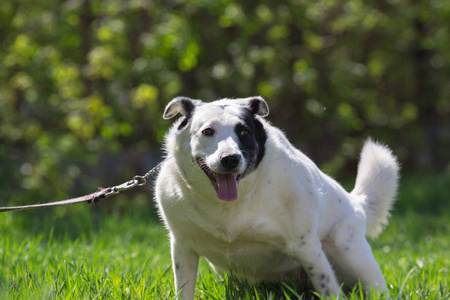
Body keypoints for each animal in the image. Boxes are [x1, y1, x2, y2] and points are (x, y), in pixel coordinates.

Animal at [154, 96, 398, 298]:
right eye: (207, 131)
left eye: (244, 132)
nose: (230, 159)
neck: (228, 206)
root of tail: (357, 203)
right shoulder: (182, 247)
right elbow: (184, 289)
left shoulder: (307, 248)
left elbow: (328, 288)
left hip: (346, 249)